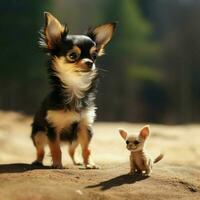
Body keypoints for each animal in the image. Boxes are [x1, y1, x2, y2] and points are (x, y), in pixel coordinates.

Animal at [31, 12, 115, 169]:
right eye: (72, 56)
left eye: (94, 56)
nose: (90, 63)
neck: (75, 89)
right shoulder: (53, 128)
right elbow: (55, 148)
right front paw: (57, 164)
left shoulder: (85, 127)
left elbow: (87, 149)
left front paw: (90, 164)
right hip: (38, 135)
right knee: (41, 150)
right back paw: (37, 161)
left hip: (75, 139)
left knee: (72, 150)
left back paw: (77, 161)